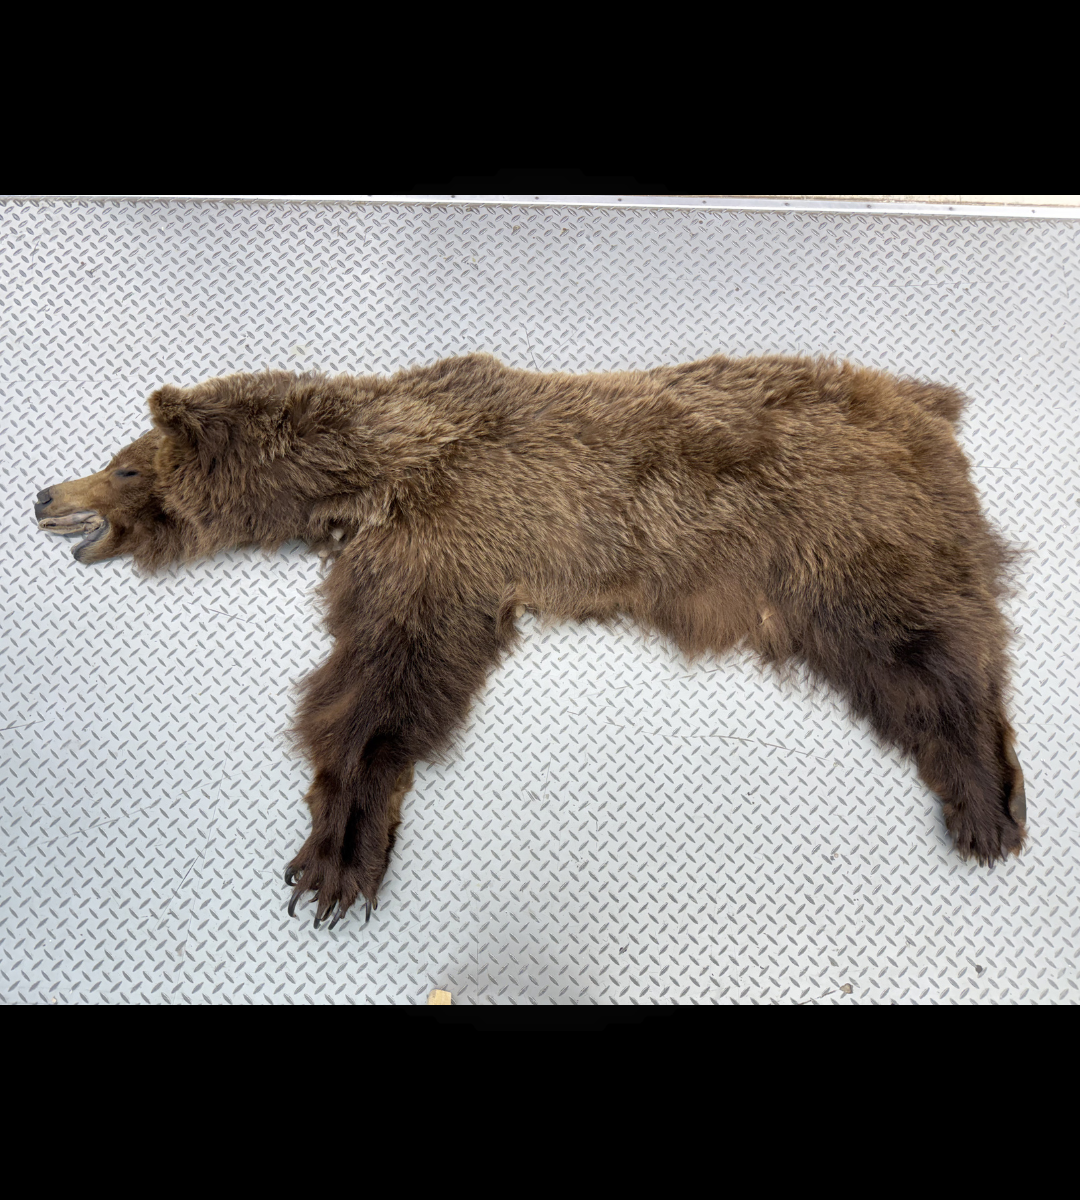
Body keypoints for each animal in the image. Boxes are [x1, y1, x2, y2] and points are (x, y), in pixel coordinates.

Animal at [34, 352, 1028, 930]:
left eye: (125, 465)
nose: (46, 493)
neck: (368, 472)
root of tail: (921, 404)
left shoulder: (452, 536)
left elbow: (388, 688)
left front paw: (337, 854)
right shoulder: (415, 553)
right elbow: (372, 676)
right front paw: (340, 839)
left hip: (847, 536)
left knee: (928, 650)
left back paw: (984, 801)